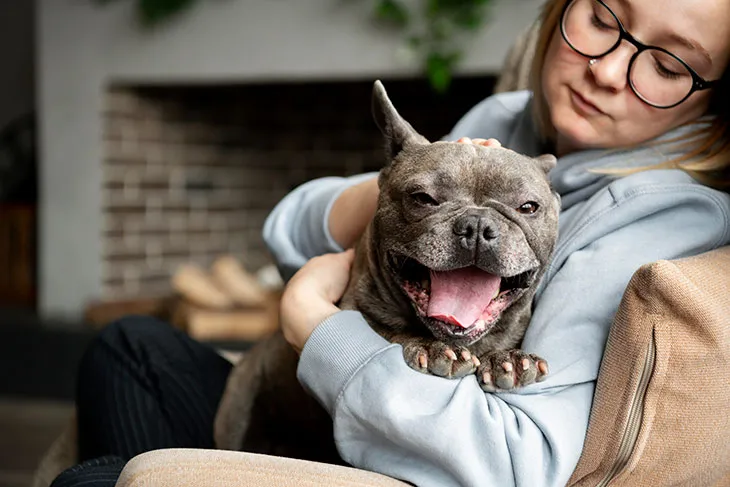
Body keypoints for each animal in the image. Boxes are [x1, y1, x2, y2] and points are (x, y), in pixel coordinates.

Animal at [213, 80, 560, 466]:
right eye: (422, 198)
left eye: (528, 207)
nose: (478, 224)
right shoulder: (357, 309)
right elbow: (388, 331)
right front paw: (432, 348)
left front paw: (509, 360)